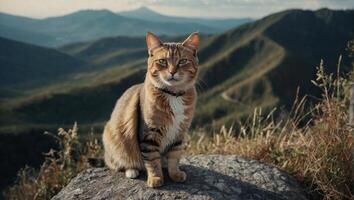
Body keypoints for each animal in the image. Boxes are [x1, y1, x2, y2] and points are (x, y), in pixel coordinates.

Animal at [101, 31, 199, 188]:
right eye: (163, 61)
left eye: (183, 61)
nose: (172, 72)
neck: (173, 95)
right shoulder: (149, 134)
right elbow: (152, 160)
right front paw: (155, 178)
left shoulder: (180, 133)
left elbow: (174, 156)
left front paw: (175, 174)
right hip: (113, 137)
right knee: (118, 163)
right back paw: (132, 171)